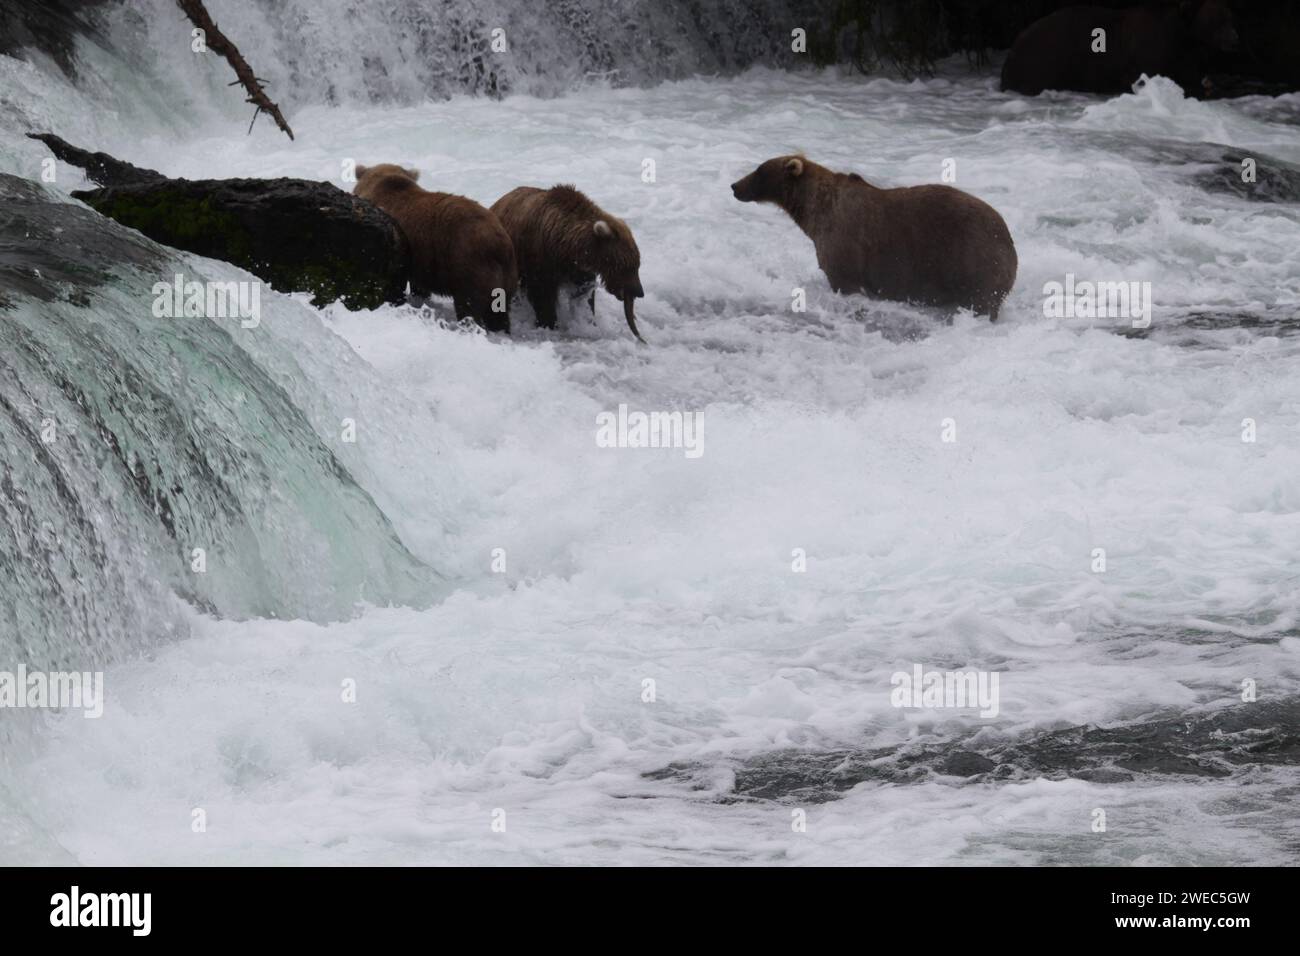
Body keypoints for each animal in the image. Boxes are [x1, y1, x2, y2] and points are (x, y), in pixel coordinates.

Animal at [488, 184, 647, 343]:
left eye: (637, 264)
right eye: (626, 266)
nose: (639, 291)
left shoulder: (578, 269)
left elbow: (583, 296)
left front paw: (586, 322)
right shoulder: (540, 261)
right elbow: (543, 297)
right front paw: (549, 324)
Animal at [733, 155, 1013, 321]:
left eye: (758, 171)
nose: (735, 186)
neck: (814, 211)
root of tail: (1006, 232)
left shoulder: (842, 244)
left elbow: (844, 280)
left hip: (972, 259)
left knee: (982, 298)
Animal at [998, 1, 1242, 98]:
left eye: (1229, 17)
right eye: (1218, 20)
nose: (1234, 39)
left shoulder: (1185, 55)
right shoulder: (1151, 51)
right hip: (1047, 59)